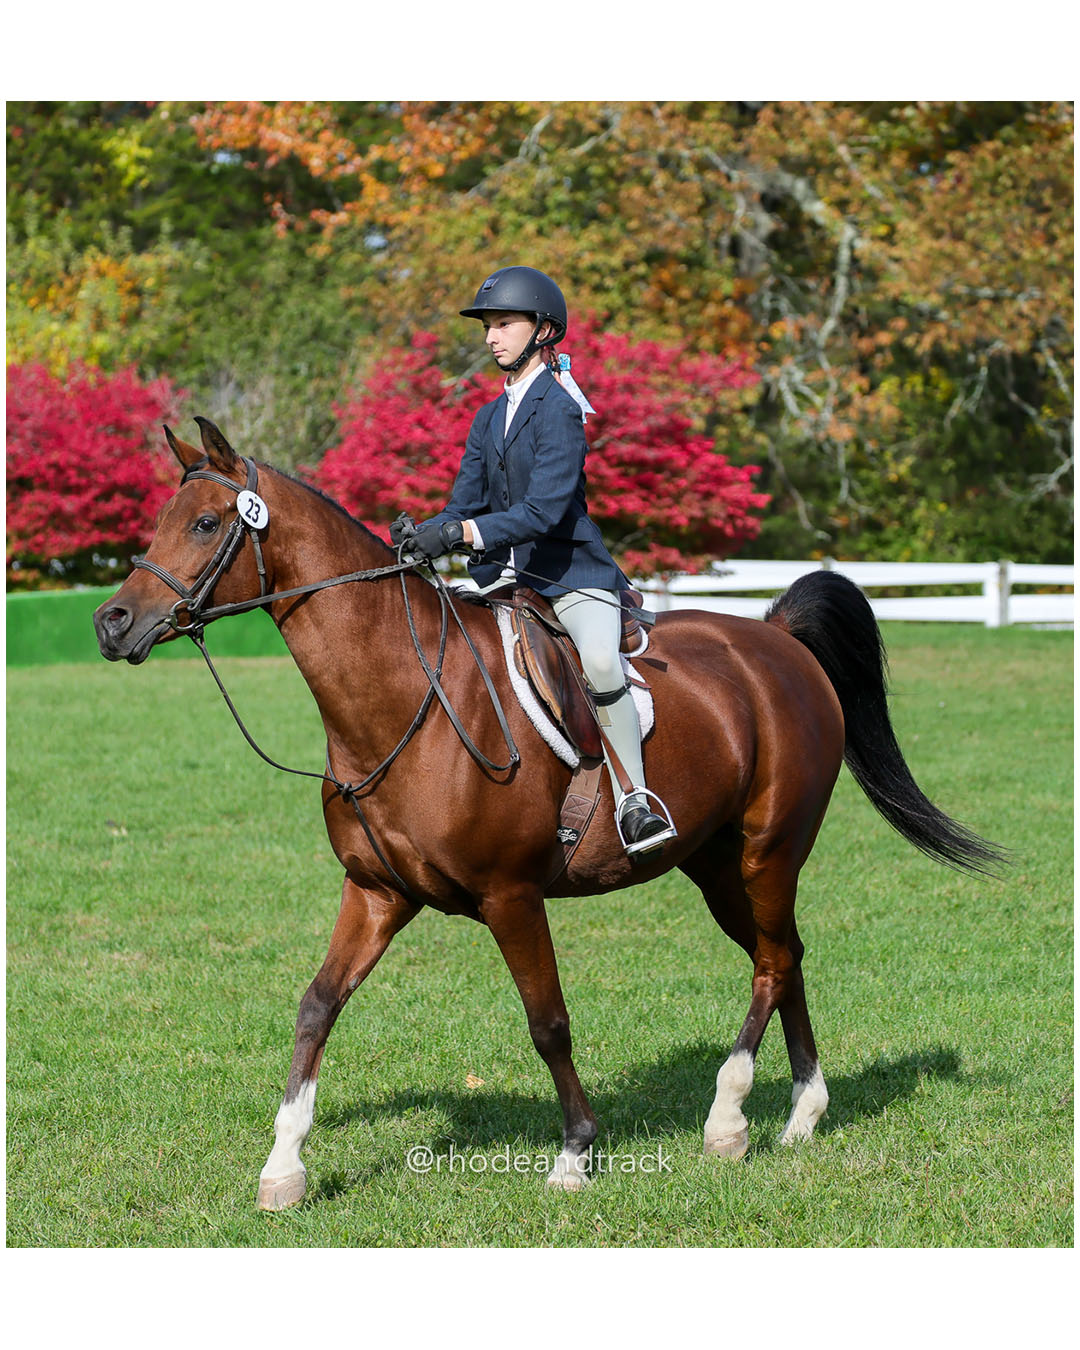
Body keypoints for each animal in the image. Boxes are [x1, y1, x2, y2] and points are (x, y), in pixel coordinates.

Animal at [93, 417, 1002, 1210]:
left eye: (206, 522)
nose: (111, 622)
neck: (404, 700)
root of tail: (775, 637)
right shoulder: (377, 893)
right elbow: (316, 1006)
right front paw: (283, 1167)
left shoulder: (511, 897)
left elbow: (548, 1022)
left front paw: (573, 1155)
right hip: (714, 865)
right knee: (785, 956)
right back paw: (803, 1111)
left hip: (768, 850)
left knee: (773, 963)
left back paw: (729, 1116)